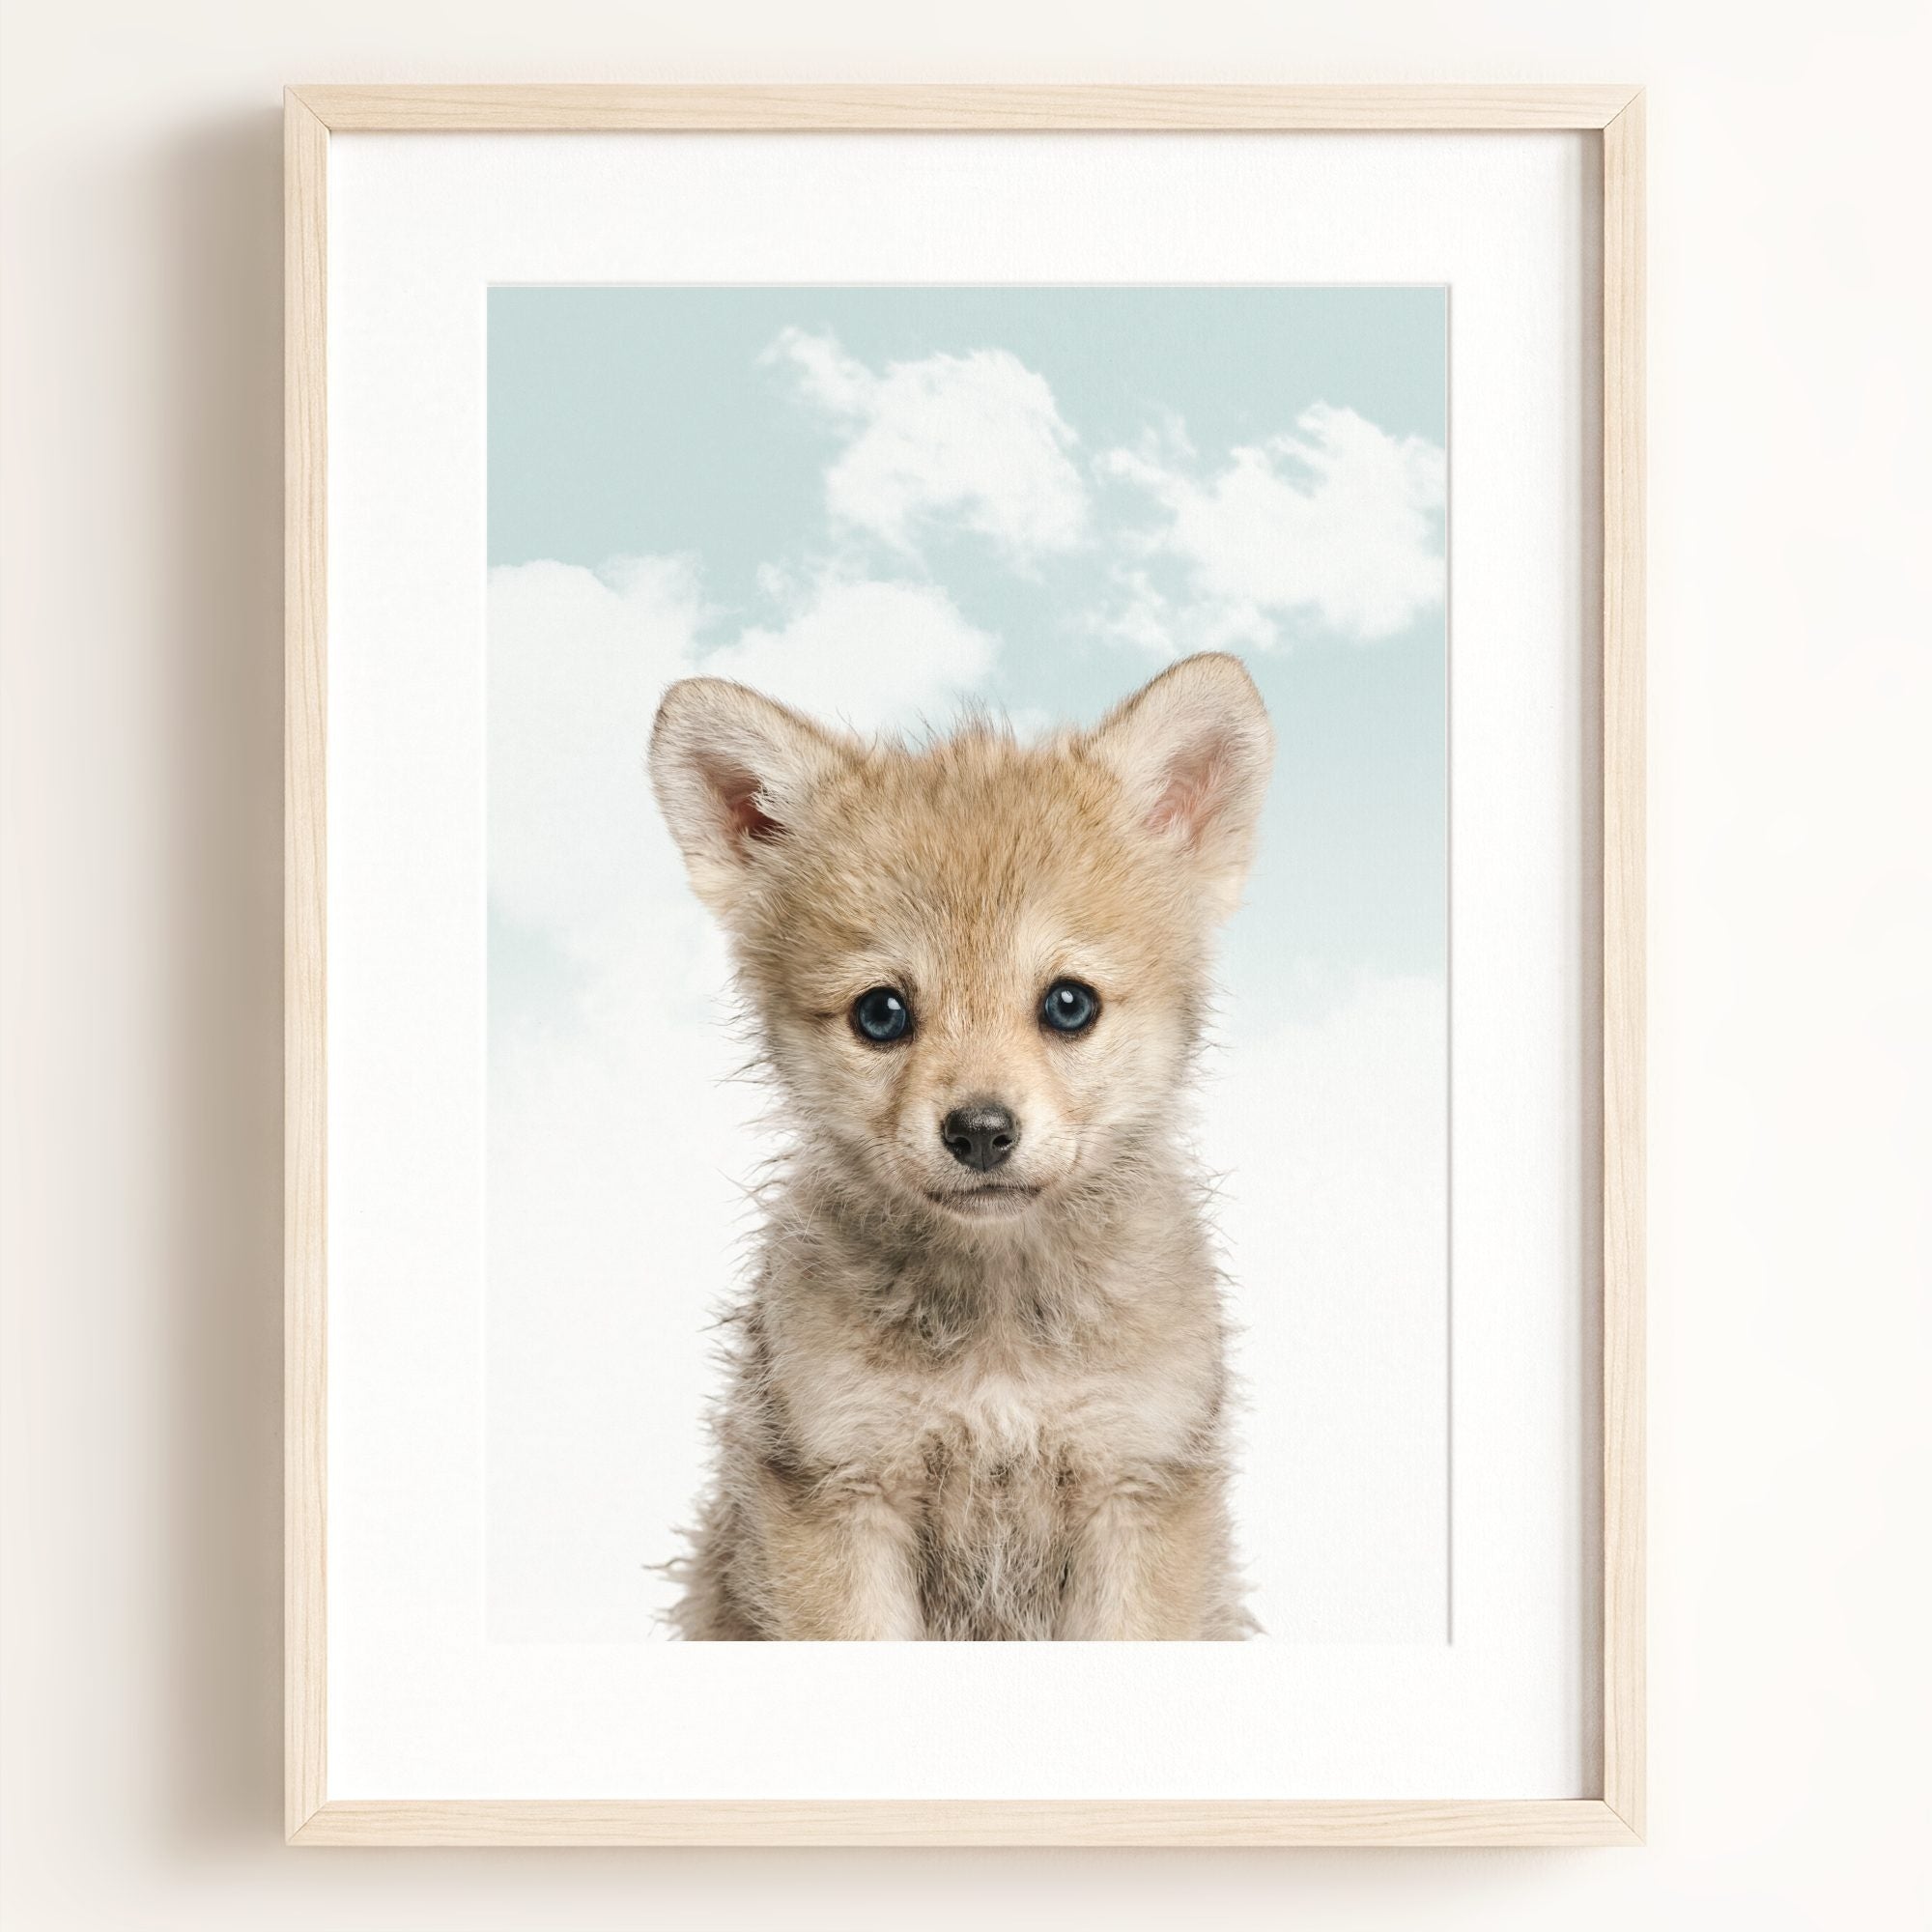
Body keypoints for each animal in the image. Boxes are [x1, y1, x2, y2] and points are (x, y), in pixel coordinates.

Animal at [647, 652, 1273, 1639]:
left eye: (1069, 1003)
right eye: (881, 1013)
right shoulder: (840, 1490)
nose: (980, 1131)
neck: (998, 1334)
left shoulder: (1137, 1487)